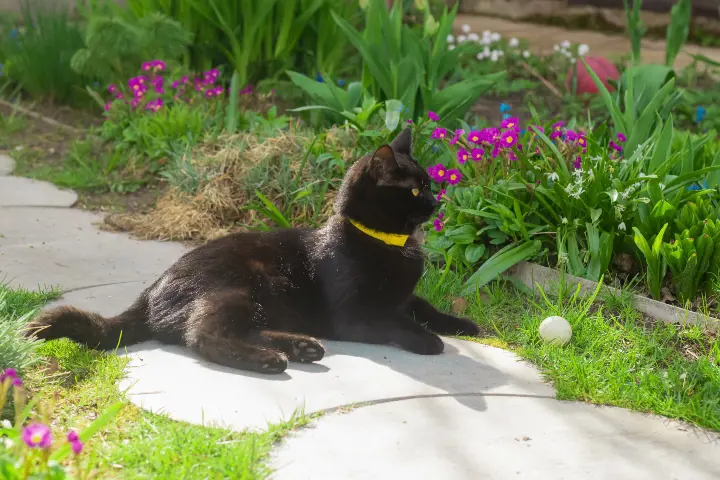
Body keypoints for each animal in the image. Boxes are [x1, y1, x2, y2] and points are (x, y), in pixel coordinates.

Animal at [28, 128, 480, 376]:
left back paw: (300, 348)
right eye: (417, 190)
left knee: (235, 329)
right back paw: (271, 360)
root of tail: (150, 292)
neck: (388, 243)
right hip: (234, 287)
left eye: (430, 183)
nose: (438, 202)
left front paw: (463, 324)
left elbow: (425, 306)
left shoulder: (404, 297)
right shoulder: (356, 314)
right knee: (204, 335)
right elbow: (396, 323)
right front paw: (428, 340)